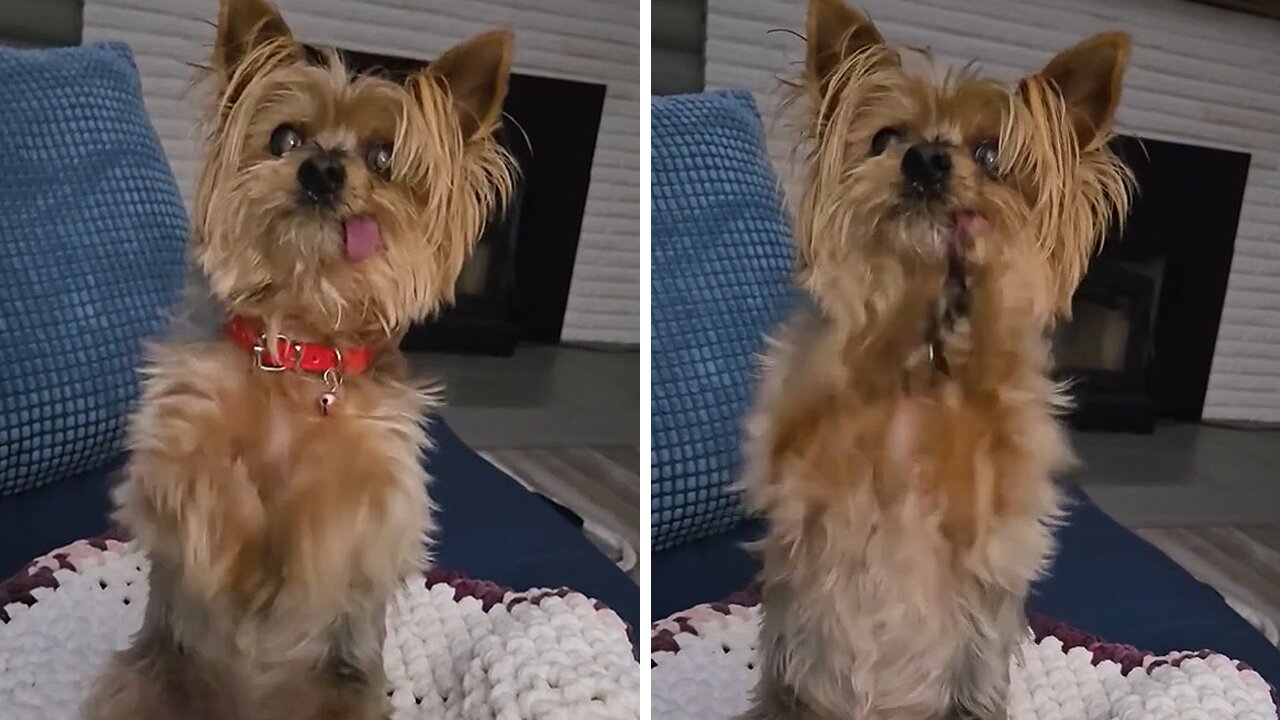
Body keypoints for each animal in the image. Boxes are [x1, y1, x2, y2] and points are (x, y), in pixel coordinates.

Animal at [81, 0, 514, 712]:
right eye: (285, 138)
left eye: (384, 156)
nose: (323, 169)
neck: (298, 348)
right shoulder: (170, 434)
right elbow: (202, 469)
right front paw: (237, 549)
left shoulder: (387, 481)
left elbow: (339, 502)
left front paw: (299, 553)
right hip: (141, 681)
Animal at [742, 1, 1131, 717]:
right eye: (884, 138)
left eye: (991, 154)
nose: (925, 159)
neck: (919, 377)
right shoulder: (794, 465)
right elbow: (831, 391)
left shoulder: (997, 508)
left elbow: (993, 382)